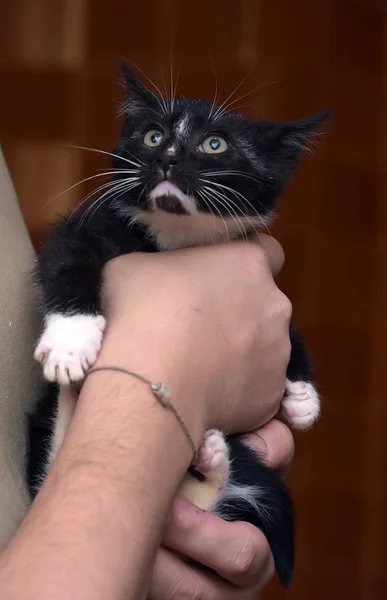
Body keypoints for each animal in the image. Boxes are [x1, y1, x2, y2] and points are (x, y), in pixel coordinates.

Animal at [28, 63, 330, 588]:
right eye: (152, 135)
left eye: (214, 144)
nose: (167, 157)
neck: (175, 238)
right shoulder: (90, 224)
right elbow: (66, 259)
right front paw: (71, 339)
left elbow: (288, 323)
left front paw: (302, 393)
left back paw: (213, 462)